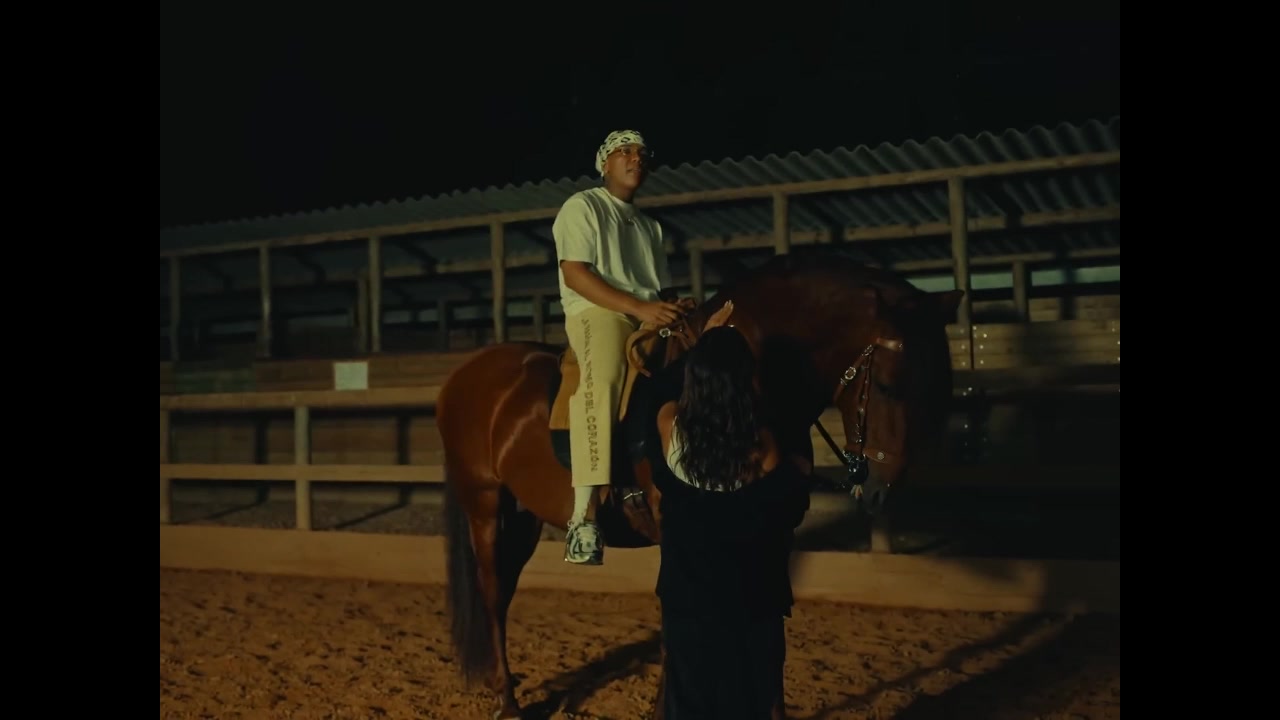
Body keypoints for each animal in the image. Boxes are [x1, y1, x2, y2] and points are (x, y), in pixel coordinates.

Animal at [435, 252, 963, 719]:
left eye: (935, 388)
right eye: (890, 386)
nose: (881, 490)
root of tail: (467, 374)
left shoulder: (772, 533)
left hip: (521, 516)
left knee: (504, 592)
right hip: (485, 504)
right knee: (491, 593)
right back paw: (507, 701)